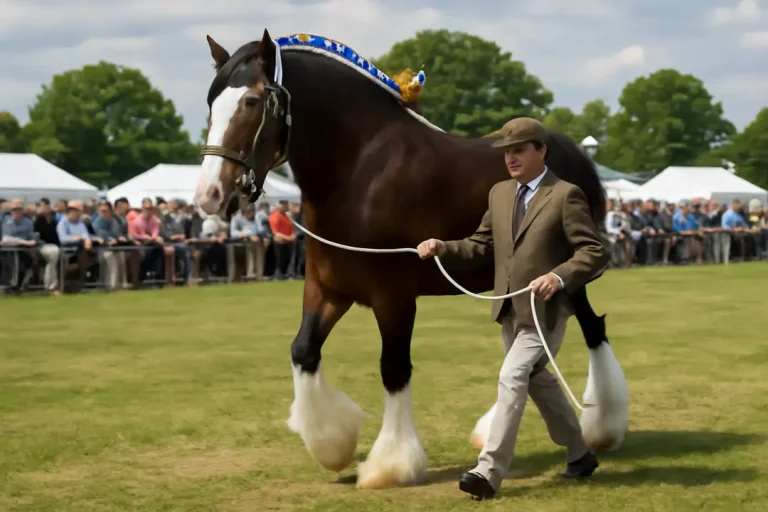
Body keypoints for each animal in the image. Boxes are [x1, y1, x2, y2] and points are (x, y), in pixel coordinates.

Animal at [194, 29, 629, 489]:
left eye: (251, 101)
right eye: (211, 102)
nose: (209, 196)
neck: (358, 169)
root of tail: (578, 157)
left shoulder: (394, 295)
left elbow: (394, 367)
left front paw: (391, 464)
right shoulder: (329, 288)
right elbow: (303, 350)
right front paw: (333, 445)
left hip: (563, 276)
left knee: (588, 330)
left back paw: (602, 428)